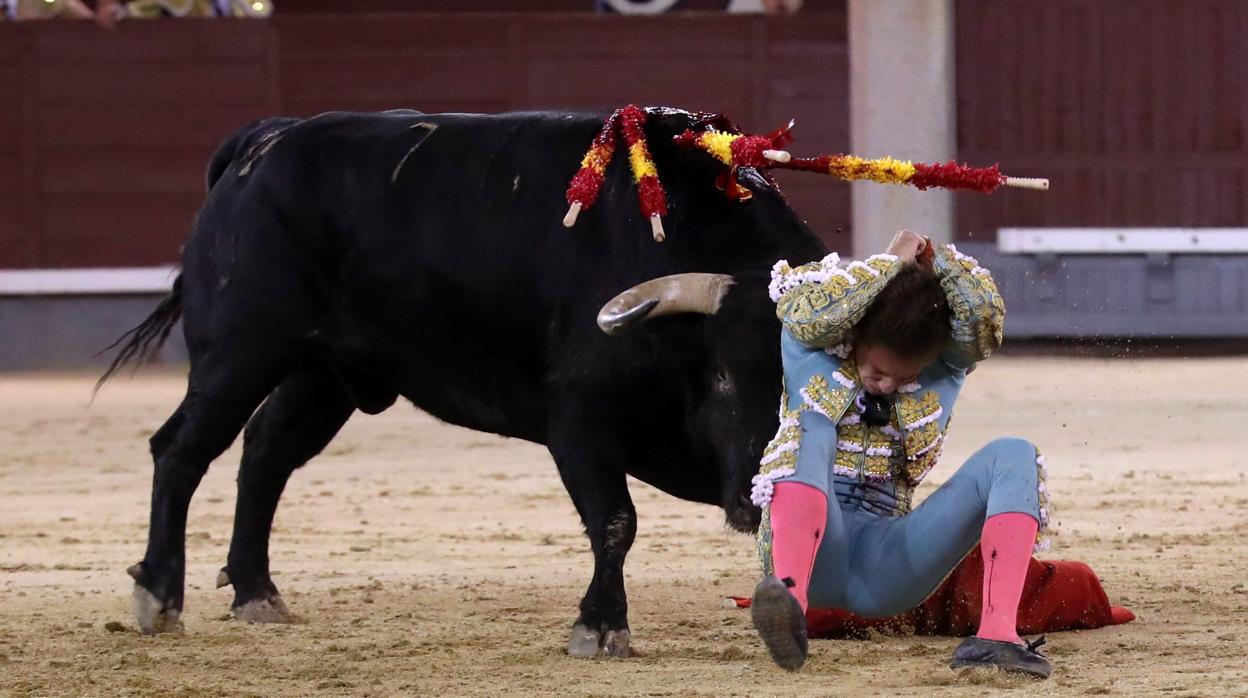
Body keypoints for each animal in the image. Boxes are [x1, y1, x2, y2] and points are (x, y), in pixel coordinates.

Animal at [102, 108, 828, 654]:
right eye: (723, 374)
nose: (753, 495)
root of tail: (263, 141)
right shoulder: (578, 420)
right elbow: (615, 522)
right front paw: (599, 627)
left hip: (324, 375)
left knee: (265, 453)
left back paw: (256, 592)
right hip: (239, 351)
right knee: (181, 449)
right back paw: (159, 596)